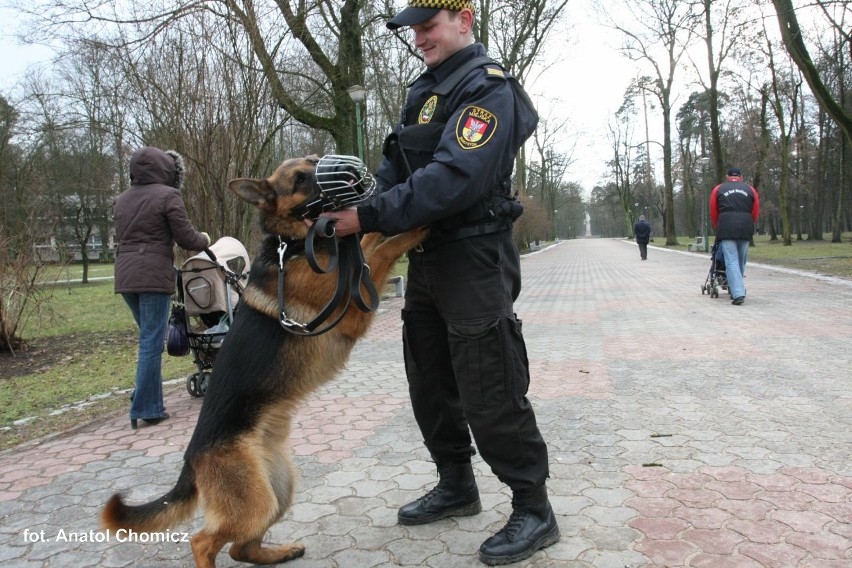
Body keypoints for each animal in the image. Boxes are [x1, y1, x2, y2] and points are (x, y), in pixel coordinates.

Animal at [101, 155, 426, 568]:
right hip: (253, 503)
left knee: (240, 547)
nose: (352, 174)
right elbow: (380, 251)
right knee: (203, 541)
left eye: (316, 162)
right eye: (301, 180)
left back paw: (280, 552)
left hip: (278, 489)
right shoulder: (354, 308)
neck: (296, 244)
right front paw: (416, 227)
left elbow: (370, 243)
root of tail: (191, 459)